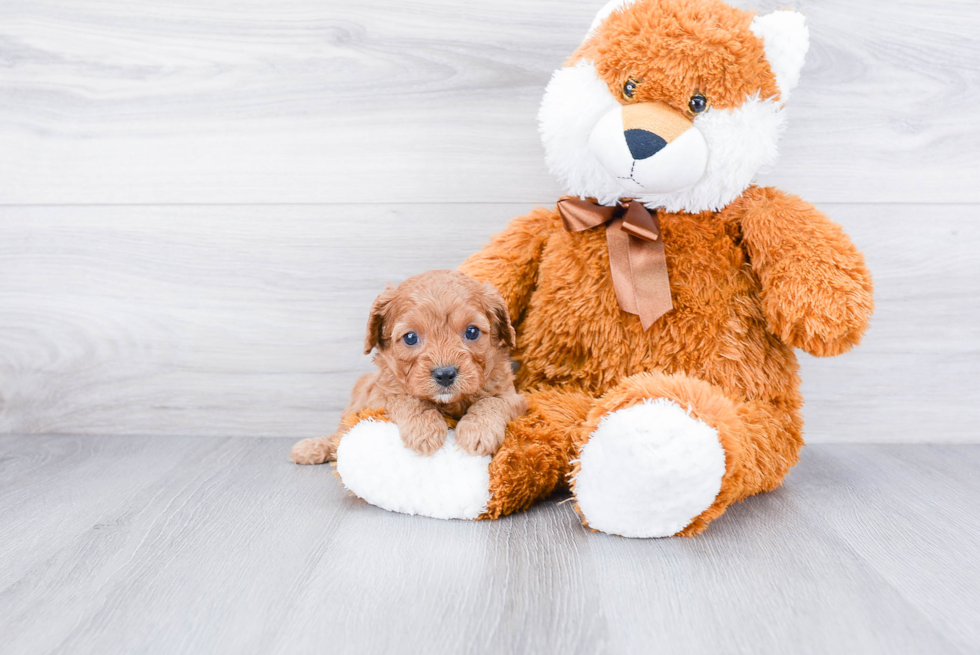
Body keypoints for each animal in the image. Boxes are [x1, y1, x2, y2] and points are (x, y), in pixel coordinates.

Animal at [290, 272, 524, 466]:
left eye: (472, 332)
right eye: (411, 337)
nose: (445, 374)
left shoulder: (513, 396)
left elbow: (491, 401)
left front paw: (477, 431)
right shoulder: (380, 396)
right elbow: (408, 399)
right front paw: (425, 430)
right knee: (337, 437)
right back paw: (311, 448)